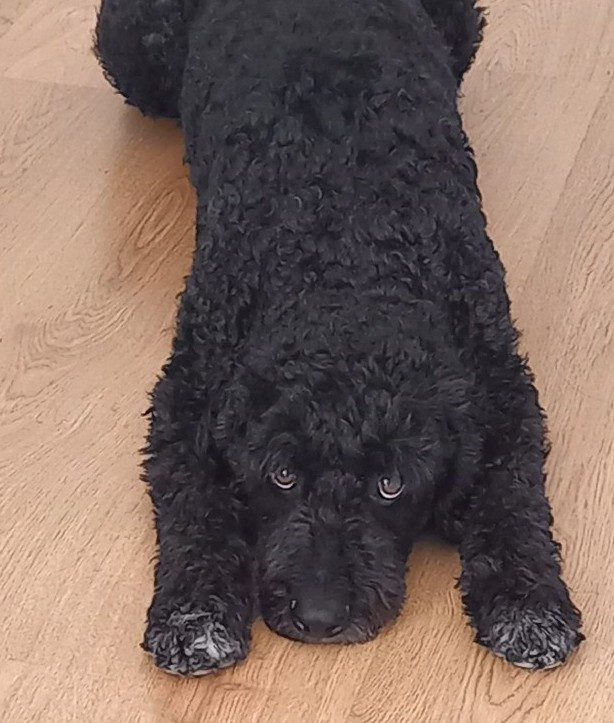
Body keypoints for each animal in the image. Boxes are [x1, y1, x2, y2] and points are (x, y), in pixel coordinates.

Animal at [95, 0, 583, 676]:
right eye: (281, 475)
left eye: (390, 484)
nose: (320, 617)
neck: (347, 255)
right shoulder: (184, 399)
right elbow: (195, 506)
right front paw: (194, 612)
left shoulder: (504, 388)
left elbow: (515, 499)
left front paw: (529, 602)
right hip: (128, 48)